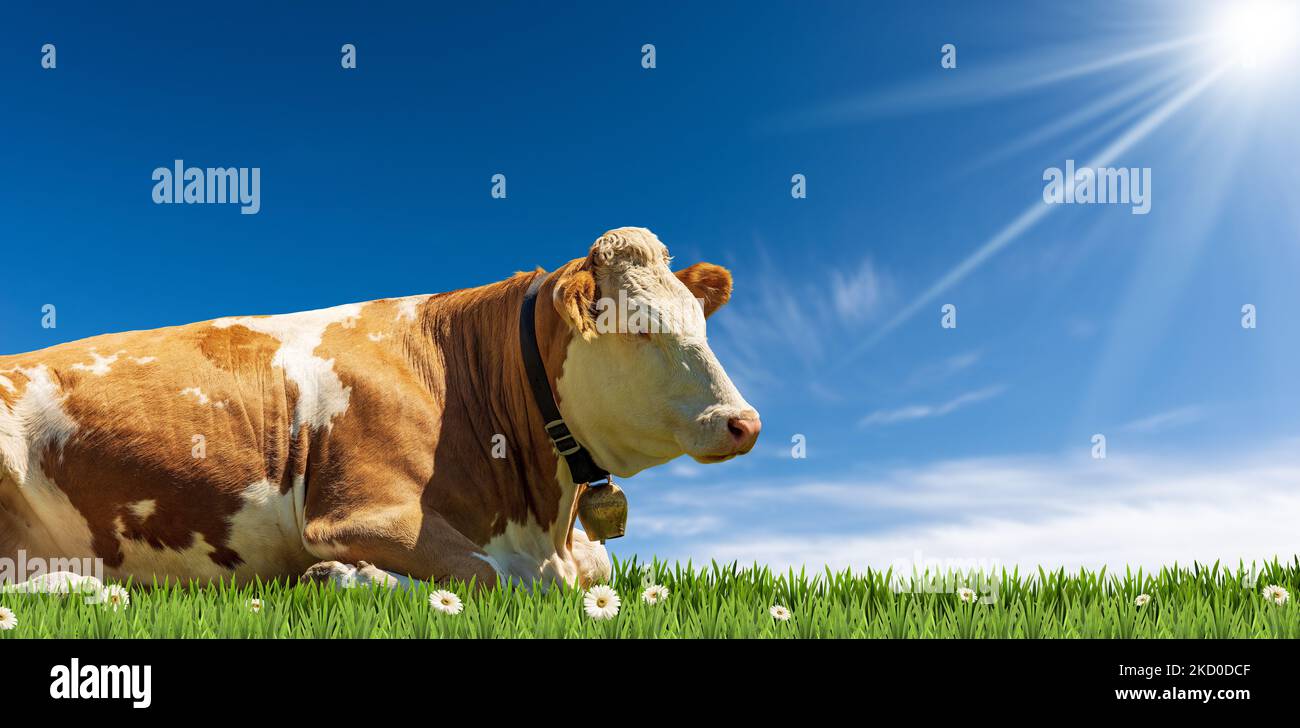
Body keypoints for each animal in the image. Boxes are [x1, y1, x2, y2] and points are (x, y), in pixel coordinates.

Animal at [0, 228, 760, 591]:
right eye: (638, 326)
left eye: (699, 319)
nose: (744, 422)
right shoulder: (363, 512)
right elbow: (505, 579)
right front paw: (343, 578)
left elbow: (589, 571)